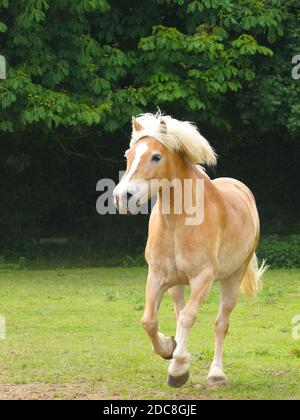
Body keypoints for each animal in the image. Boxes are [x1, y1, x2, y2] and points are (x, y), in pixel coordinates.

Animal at [113, 112, 268, 388]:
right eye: (128, 154)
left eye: (156, 156)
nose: (123, 197)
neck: (178, 222)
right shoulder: (156, 276)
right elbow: (149, 321)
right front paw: (168, 349)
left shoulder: (203, 277)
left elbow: (189, 317)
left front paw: (178, 370)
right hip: (176, 283)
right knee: (177, 311)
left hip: (232, 278)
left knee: (220, 323)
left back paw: (216, 374)